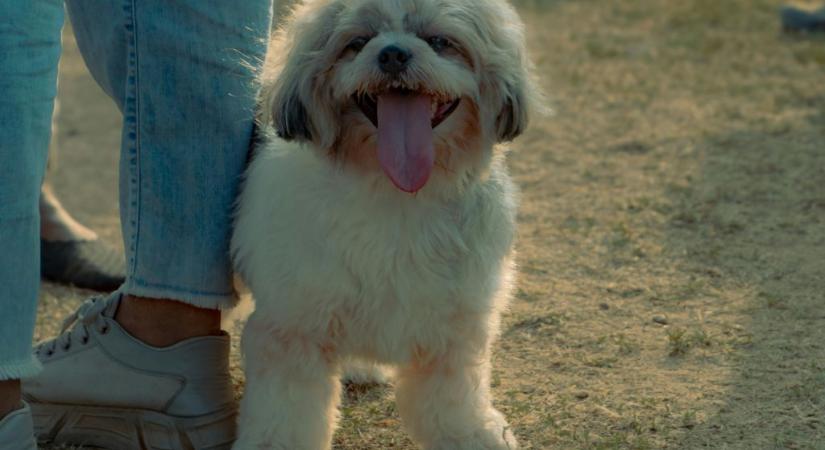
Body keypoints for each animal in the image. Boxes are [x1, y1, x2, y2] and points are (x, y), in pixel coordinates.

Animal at [230, 0, 536, 446]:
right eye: (358, 42)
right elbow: (286, 414)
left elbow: (454, 402)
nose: (392, 54)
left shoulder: (453, 331)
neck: (398, 195)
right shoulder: (292, 330)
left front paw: (471, 435)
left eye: (439, 41)